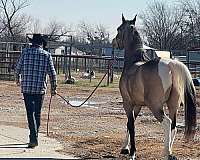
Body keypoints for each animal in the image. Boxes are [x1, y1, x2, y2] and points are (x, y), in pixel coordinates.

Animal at [112, 14, 197, 159]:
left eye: (119, 29)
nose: (114, 42)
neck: (133, 63)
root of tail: (170, 64)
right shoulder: (137, 105)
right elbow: (130, 124)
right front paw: (125, 148)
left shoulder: (127, 103)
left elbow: (131, 125)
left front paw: (132, 152)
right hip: (173, 105)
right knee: (173, 125)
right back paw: (168, 151)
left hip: (155, 106)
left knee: (167, 122)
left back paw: (167, 153)